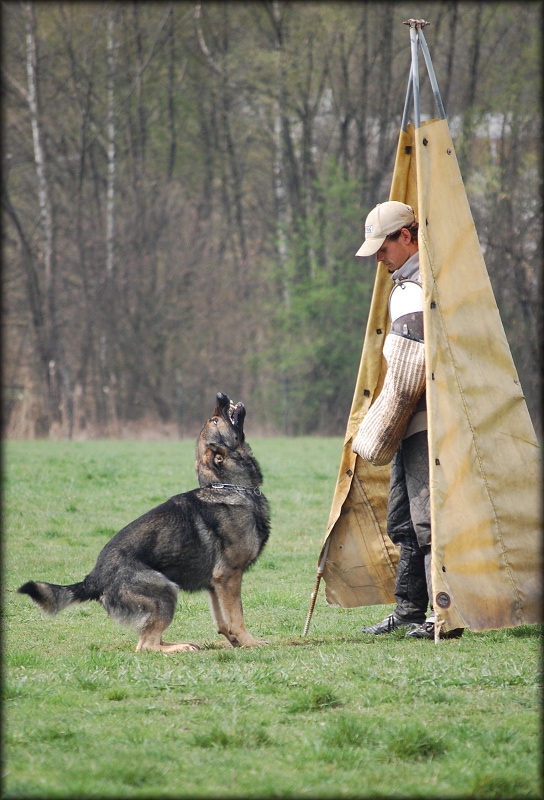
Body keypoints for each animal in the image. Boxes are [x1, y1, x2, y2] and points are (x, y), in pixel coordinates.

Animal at [18, 392, 270, 648]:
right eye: (215, 420)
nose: (220, 395)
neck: (228, 486)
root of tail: (94, 578)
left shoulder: (215, 584)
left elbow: (222, 619)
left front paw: (234, 640)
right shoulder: (229, 576)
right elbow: (237, 616)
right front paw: (250, 642)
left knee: (153, 640)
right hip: (166, 591)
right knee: (146, 645)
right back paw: (181, 647)